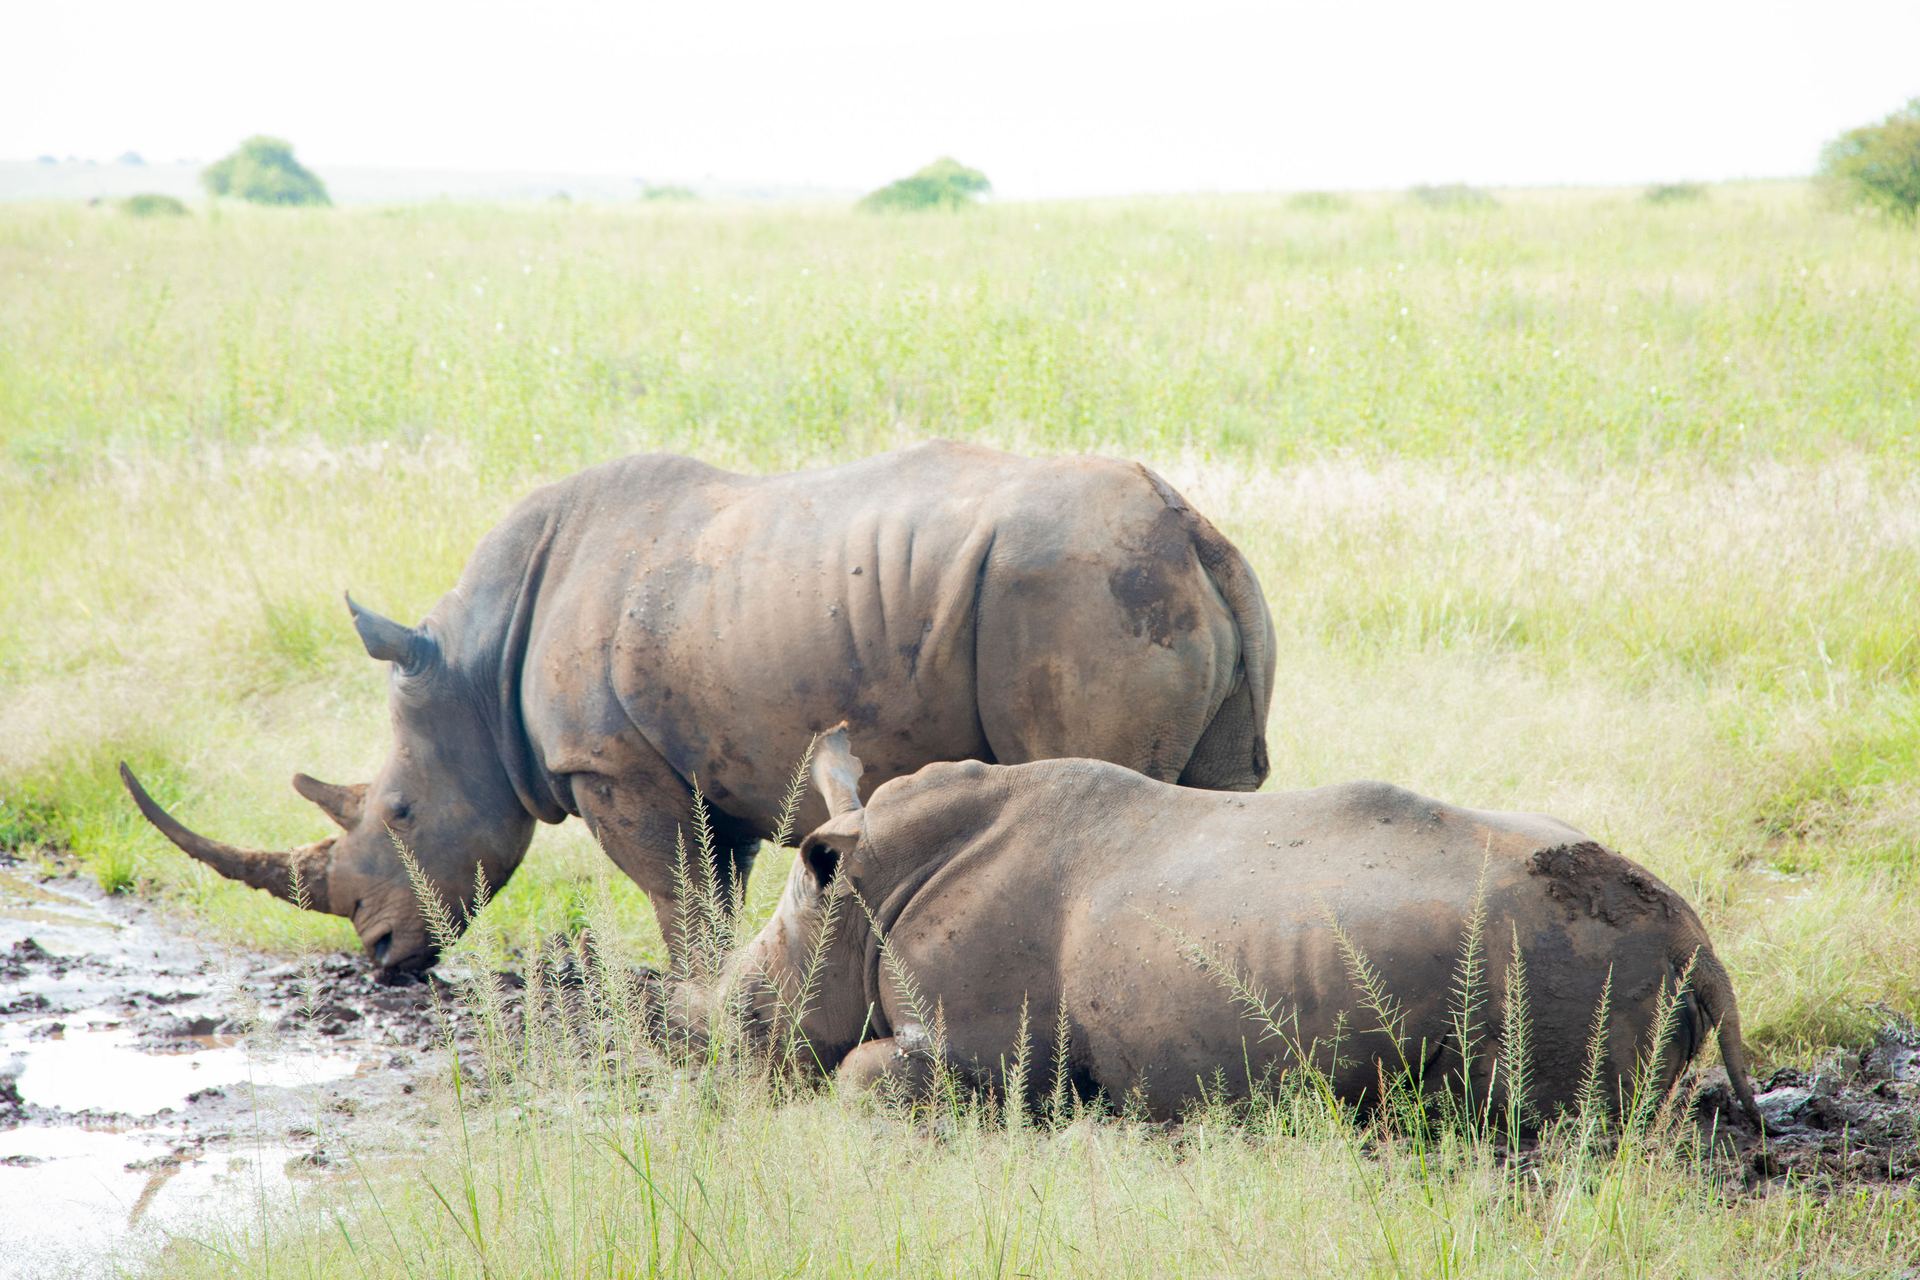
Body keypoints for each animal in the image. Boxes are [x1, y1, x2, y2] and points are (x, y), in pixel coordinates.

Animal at [120, 443, 1274, 977]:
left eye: (398, 813)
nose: (378, 949)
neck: (475, 669)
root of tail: (1191, 529)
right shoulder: (711, 761)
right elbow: (709, 890)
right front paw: (713, 1000)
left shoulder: (611, 765)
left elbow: (675, 895)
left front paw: (688, 1012)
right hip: (1154, 581)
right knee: (1224, 799)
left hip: (1078, 590)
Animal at [711, 729, 1760, 1126]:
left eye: (749, 1012)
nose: (717, 1050)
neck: (864, 885)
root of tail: (1696, 940)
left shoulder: (986, 1050)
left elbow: (859, 1073)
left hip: (1567, 952)